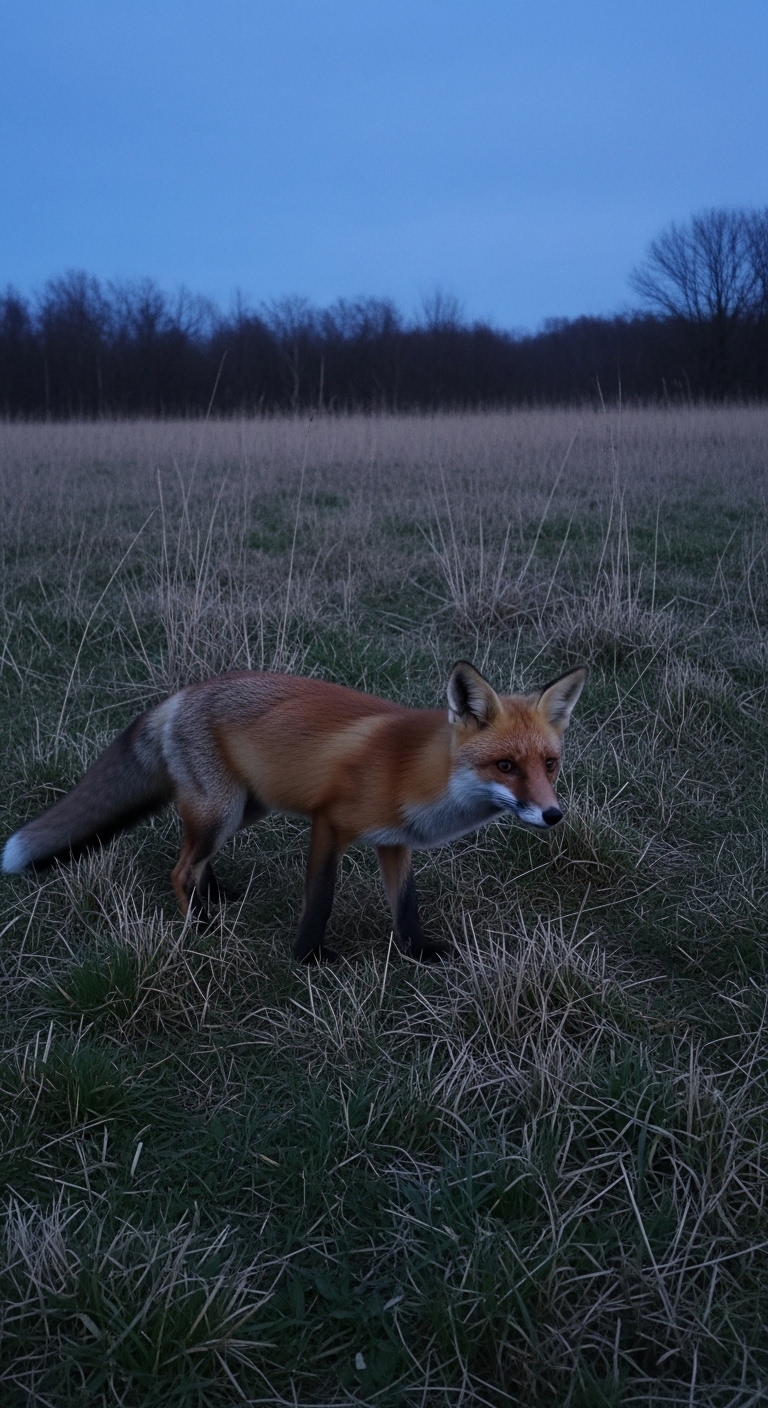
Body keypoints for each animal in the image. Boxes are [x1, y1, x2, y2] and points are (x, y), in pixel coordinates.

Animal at [3, 662, 586, 964]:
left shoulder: (393, 841)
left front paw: (418, 952)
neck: (418, 775)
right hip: (221, 810)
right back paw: (202, 928)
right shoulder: (329, 823)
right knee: (179, 868)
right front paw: (307, 958)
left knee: (196, 860)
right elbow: (320, 900)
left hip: (243, 808)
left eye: (550, 764)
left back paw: (217, 897)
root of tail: (181, 696)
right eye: (505, 766)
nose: (553, 815)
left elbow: (406, 906)